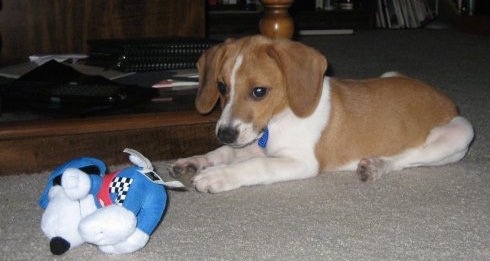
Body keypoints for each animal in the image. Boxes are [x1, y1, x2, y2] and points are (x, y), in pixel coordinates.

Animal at [171, 35, 474, 192]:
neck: (280, 118)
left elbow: (256, 165)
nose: (224, 133)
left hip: (459, 134)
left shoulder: (301, 162)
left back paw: (376, 166)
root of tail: (448, 101)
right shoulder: (252, 141)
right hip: (391, 74)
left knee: (405, 158)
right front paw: (196, 161)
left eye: (259, 91)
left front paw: (218, 177)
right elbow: (225, 153)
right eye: (222, 86)